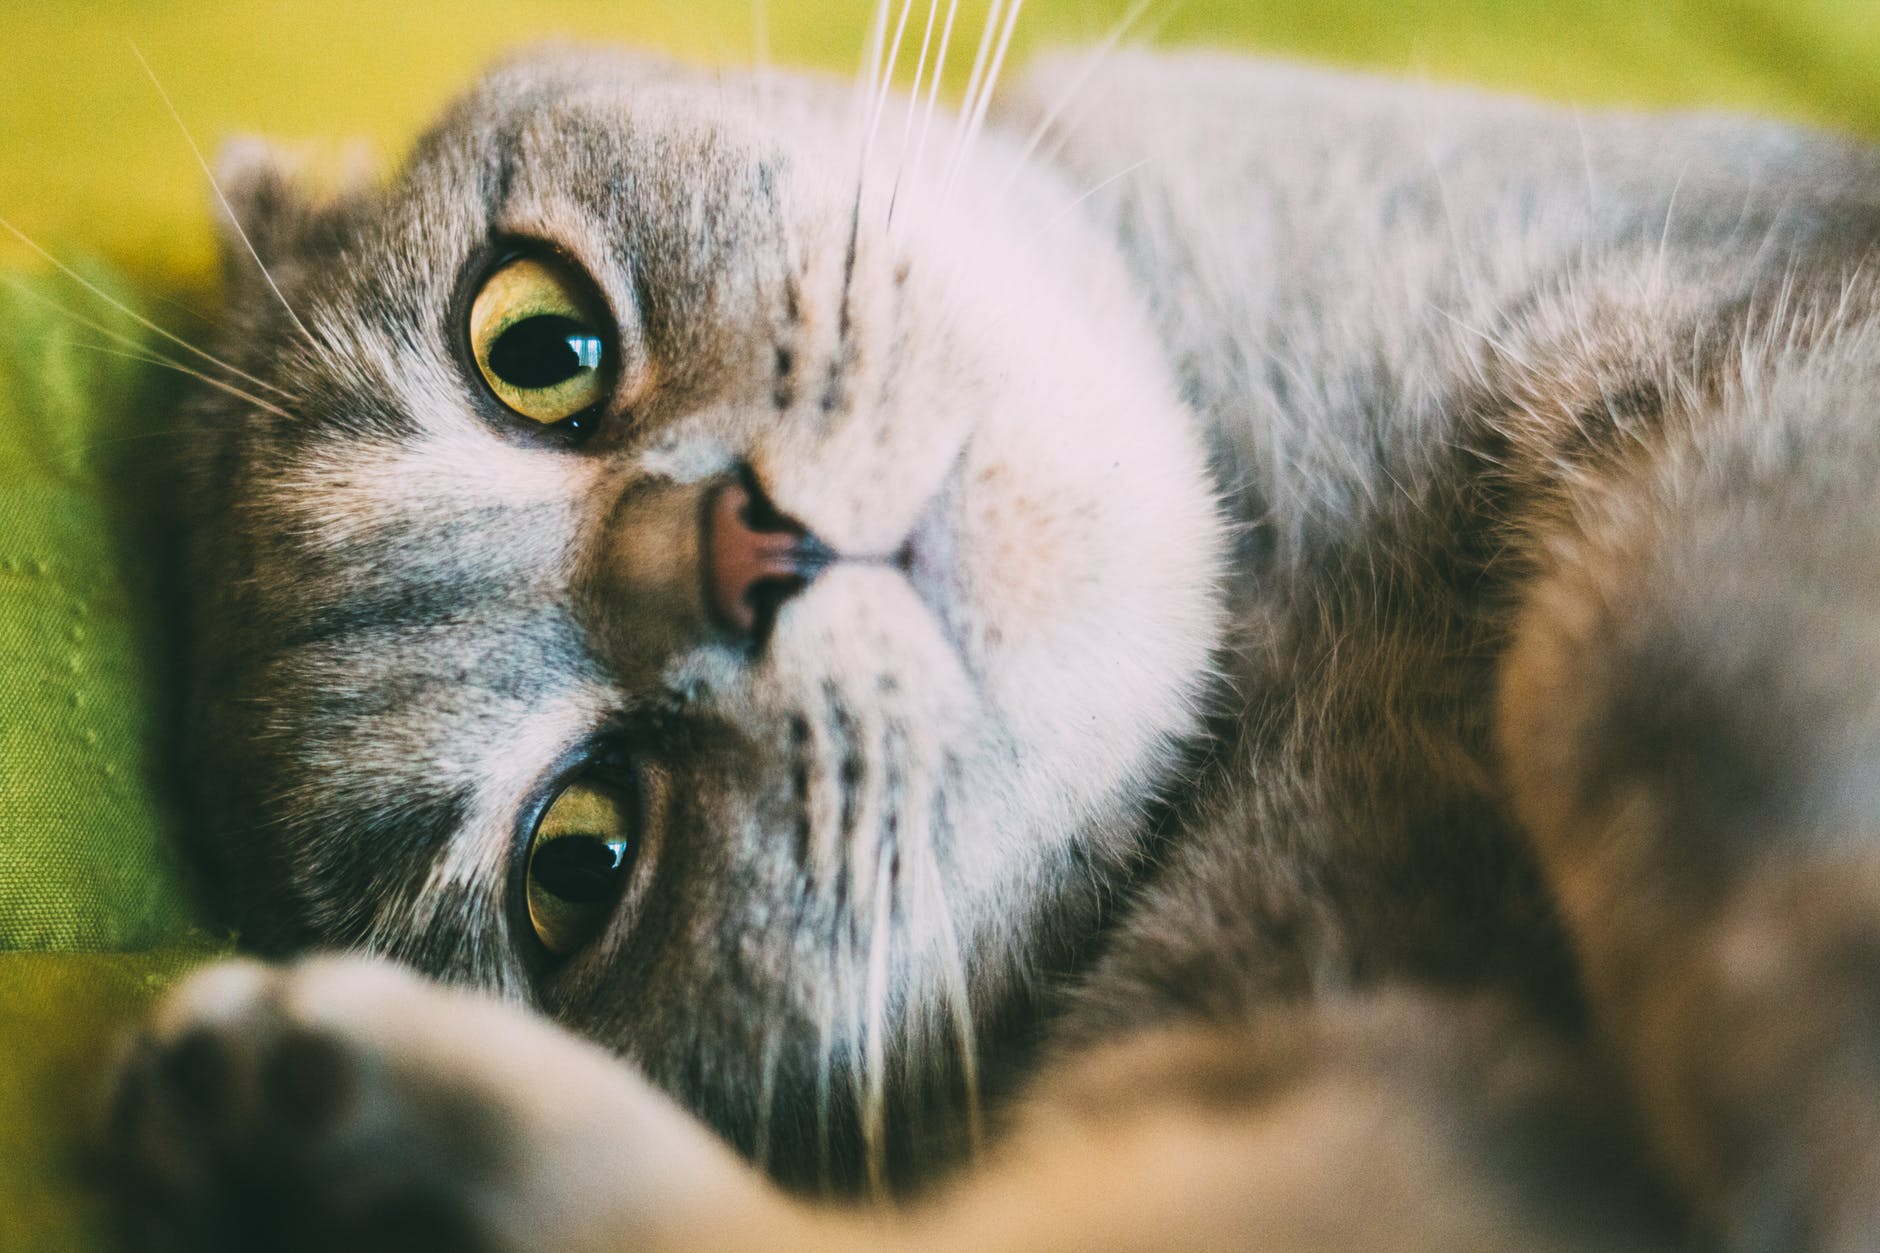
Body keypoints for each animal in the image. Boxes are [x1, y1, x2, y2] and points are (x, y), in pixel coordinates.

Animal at [106, 29, 1880, 1249]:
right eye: (581, 859)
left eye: (532, 340)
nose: (736, 549)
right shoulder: (1385, 1088)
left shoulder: (1754, 367)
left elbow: (1655, 686)